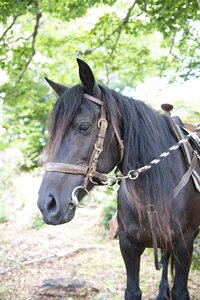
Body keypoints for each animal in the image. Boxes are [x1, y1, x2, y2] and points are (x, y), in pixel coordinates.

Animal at [37, 59, 198, 300]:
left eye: (84, 126)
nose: (47, 204)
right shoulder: (127, 244)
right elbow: (132, 291)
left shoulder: (185, 244)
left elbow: (180, 291)